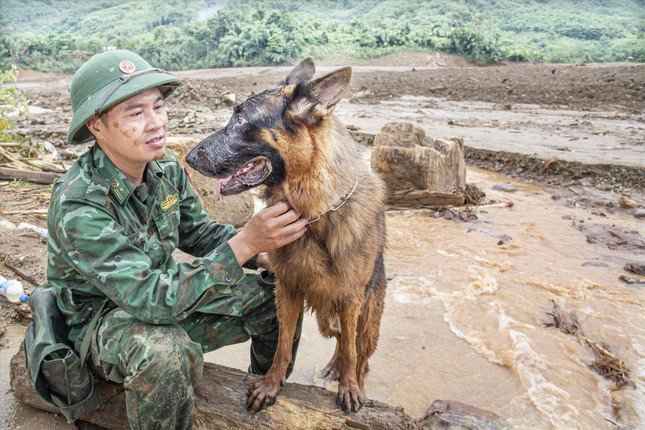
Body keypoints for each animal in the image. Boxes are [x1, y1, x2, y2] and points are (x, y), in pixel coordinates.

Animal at [186, 58, 388, 412]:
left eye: (241, 120)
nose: (189, 157)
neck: (314, 212)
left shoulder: (350, 297)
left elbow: (351, 351)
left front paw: (350, 387)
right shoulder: (287, 288)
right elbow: (281, 343)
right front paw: (271, 384)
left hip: (367, 318)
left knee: (359, 352)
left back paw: (354, 378)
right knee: (339, 339)